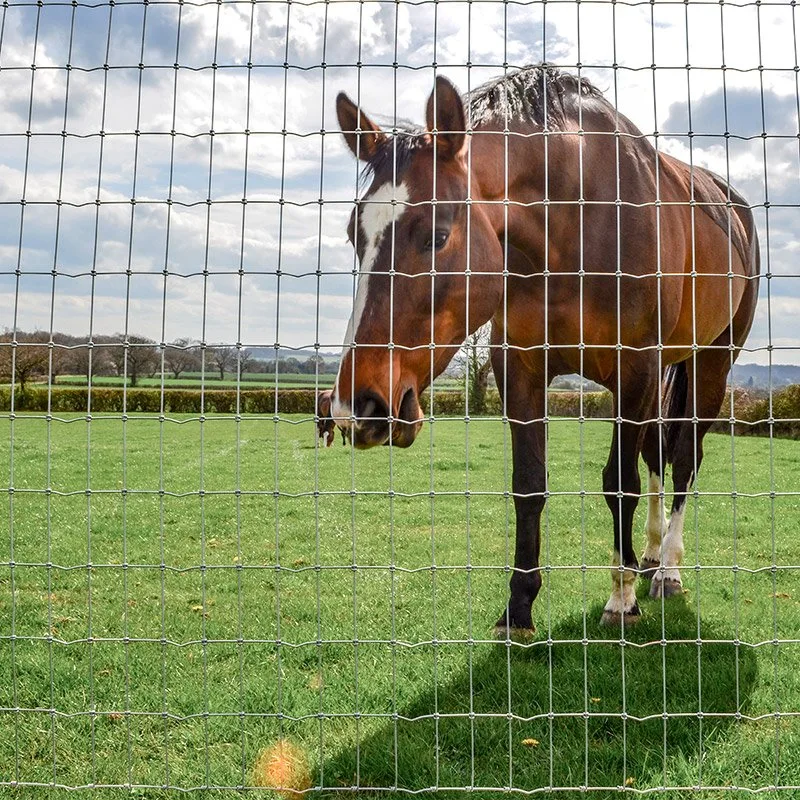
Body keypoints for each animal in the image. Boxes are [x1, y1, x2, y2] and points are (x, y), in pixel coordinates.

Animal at [328, 65, 760, 636]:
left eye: (437, 235)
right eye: (354, 234)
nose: (358, 405)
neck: (574, 220)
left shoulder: (635, 370)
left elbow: (619, 483)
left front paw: (621, 598)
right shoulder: (520, 367)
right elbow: (529, 484)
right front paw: (518, 608)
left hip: (711, 362)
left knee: (685, 458)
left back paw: (666, 569)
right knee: (657, 454)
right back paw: (648, 555)